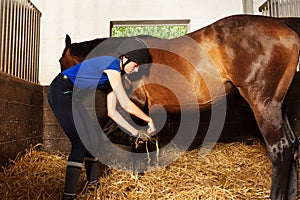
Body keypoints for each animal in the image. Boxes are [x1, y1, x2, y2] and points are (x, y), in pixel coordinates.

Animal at [58, 14, 300, 199]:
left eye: (61, 61)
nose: (70, 93)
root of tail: (285, 27)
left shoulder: (135, 104)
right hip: (278, 106)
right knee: (292, 146)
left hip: (263, 104)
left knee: (279, 149)